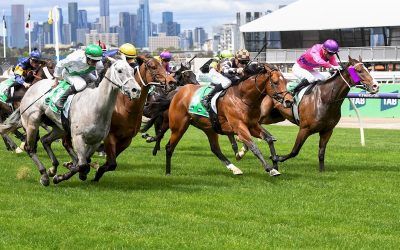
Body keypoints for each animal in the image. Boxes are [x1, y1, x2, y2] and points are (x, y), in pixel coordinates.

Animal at [0, 56, 142, 186]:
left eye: (132, 70)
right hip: (32, 122)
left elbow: (84, 162)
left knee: (45, 140)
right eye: (119, 70)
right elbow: (82, 164)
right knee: (30, 148)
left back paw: (52, 168)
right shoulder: (78, 137)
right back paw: (44, 175)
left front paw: (66, 173)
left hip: (60, 128)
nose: (136, 90)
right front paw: (61, 177)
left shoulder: (96, 141)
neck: (95, 106)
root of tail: (30, 89)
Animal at [94, 54, 177, 182]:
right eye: (153, 67)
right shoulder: (109, 136)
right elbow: (111, 162)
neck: (125, 107)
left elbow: (111, 163)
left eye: (163, 66)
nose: (172, 82)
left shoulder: (127, 139)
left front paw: (98, 171)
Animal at [163, 65, 294, 177]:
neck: (243, 97)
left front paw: (275, 163)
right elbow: (254, 147)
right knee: (169, 147)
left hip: (209, 128)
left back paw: (235, 169)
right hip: (179, 126)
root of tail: (179, 91)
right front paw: (269, 168)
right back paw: (168, 172)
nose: (289, 101)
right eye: (276, 82)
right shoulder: (239, 126)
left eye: (285, 82)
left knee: (215, 149)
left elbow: (269, 139)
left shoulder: (252, 125)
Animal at [239, 55, 380, 171]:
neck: (325, 98)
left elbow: (321, 153)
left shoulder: (327, 130)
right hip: (263, 114)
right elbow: (295, 151)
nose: (375, 86)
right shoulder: (304, 128)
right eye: (359, 71)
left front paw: (322, 171)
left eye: (368, 69)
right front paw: (276, 158)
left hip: (274, 117)